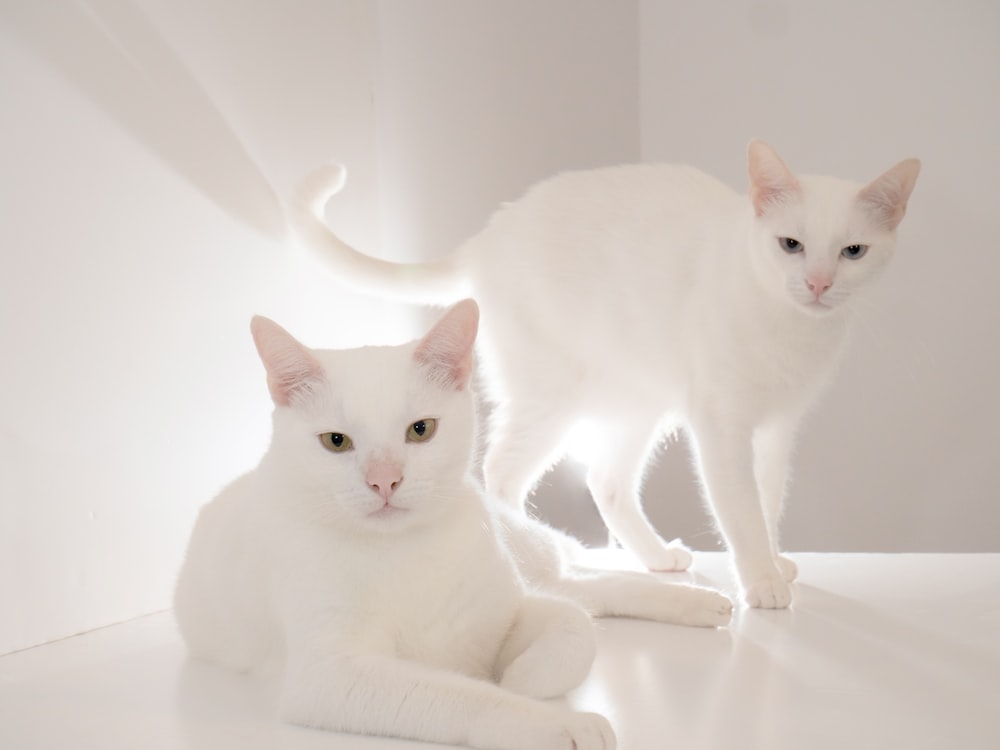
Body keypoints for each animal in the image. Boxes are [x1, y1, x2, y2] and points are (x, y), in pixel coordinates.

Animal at [176, 300, 732, 750]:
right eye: (336, 442)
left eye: (420, 430)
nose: (385, 480)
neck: (405, 552)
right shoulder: (330, 677)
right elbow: (467, 695)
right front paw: (552, 720)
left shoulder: (506, 612)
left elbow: (574, 629)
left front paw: (522, 675)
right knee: (581, 587)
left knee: (579, 585)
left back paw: (696, 596)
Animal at [288, 142, 920, 612]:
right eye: (791, 245)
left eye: (853, 252)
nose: (817, 284)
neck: (788, 327)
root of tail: (488, 237)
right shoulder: (722, 427)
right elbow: (739, 508)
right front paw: (760, 578)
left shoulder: (777, 430)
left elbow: (767, 499)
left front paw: (771, 559)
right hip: (552, 399)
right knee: (502, 471)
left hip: (635, 406)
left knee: (605, 481)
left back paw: (655, 557)